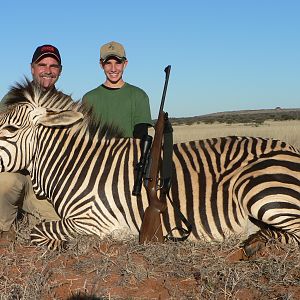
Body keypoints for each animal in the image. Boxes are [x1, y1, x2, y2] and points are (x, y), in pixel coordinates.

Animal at [0, 80, 298, 258]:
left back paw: (256, 245)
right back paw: (254, 239)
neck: (78, 164)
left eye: (10, 129)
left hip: (260, 190)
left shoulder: (93, 221)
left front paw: (69, 244)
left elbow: (38, 232)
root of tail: (290, 149)